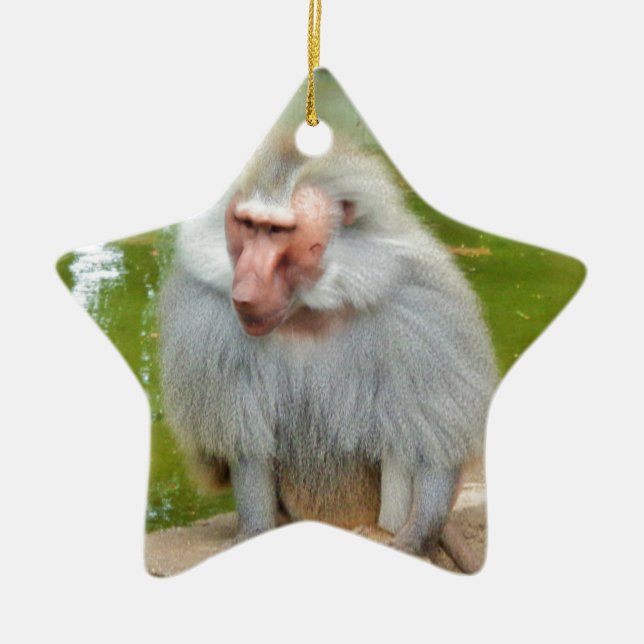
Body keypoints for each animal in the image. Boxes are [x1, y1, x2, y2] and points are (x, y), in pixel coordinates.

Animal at [159, 135, 498, 571]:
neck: (310, 307)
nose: (245, 291)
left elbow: (433, 442)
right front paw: (253, 532)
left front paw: (414, 540)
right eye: (247, 224)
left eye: (278, 231)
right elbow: (247, 445)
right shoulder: (211, 318)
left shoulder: (423, 306)